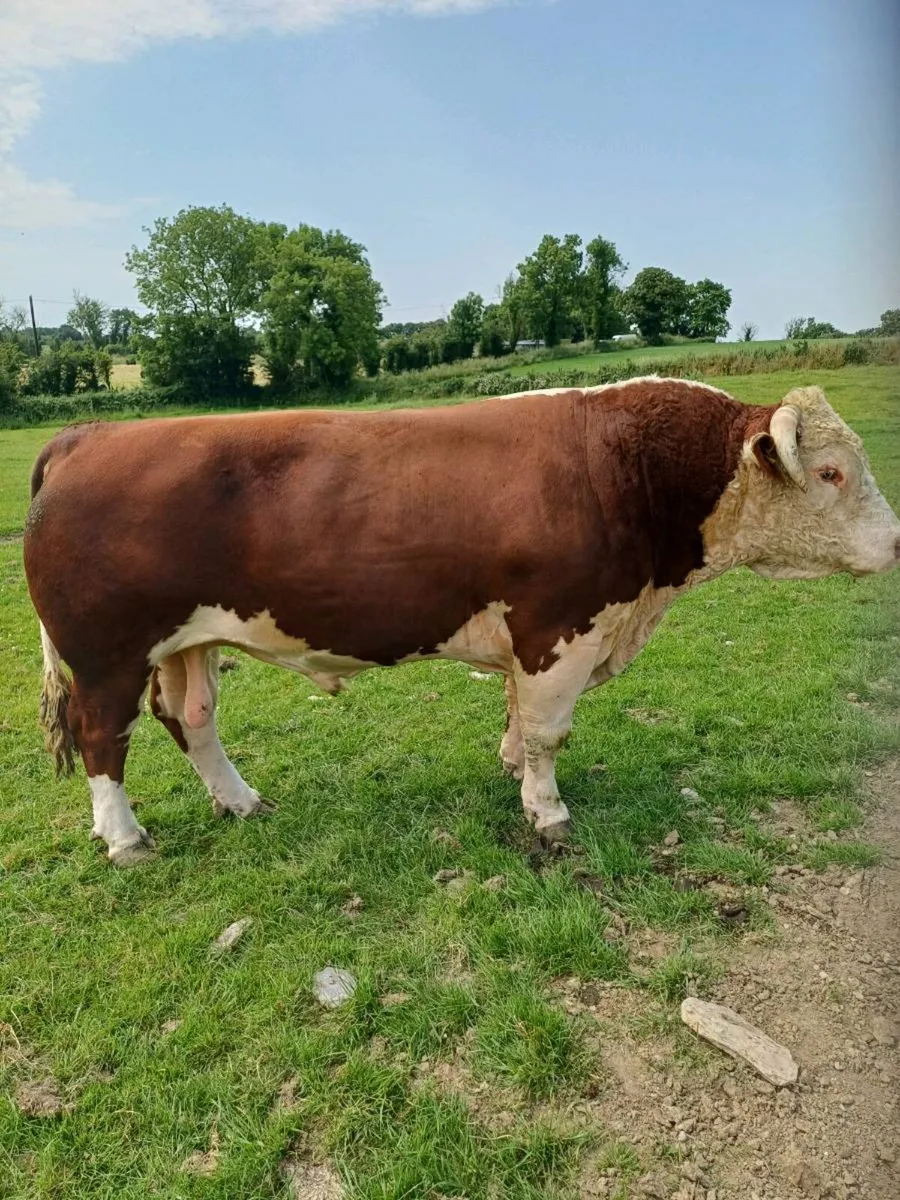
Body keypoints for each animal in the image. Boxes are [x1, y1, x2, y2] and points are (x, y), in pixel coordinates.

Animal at [23, 378, 900, 866]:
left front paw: (513, 771)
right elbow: (550, 733)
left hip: (189, 640)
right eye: (831, 472)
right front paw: (548, 814)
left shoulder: (536, 637)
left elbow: (518, 719)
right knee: (104, 739)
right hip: (105, 654)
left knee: (192, 719)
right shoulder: (560, 628)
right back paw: (126, 840)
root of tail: (86, 435)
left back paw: (240, 802)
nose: (896, 543)